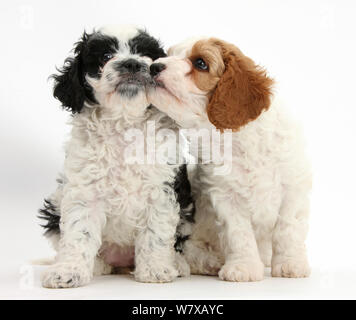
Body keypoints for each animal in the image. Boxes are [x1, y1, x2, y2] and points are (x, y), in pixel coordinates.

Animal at [38, 26, 193, 288]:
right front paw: (69, 271)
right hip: (54, 209)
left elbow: (156, 232)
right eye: (105, 57)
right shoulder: (84, 192)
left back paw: (178, 264)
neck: (124, 123)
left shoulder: (161, 189)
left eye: (145, 55)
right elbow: (79, 233)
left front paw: (155, 270)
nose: (131, 63)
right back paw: (97, 266)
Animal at [148, 38, 312, 282]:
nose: (154, 67)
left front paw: (290, 264)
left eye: (200, 63)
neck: (238, 141)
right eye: (168, 55)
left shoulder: (293, 188)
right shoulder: (226, 197)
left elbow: (288, 229)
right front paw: (243, 267)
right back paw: (212, 261)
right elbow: (239, 234)